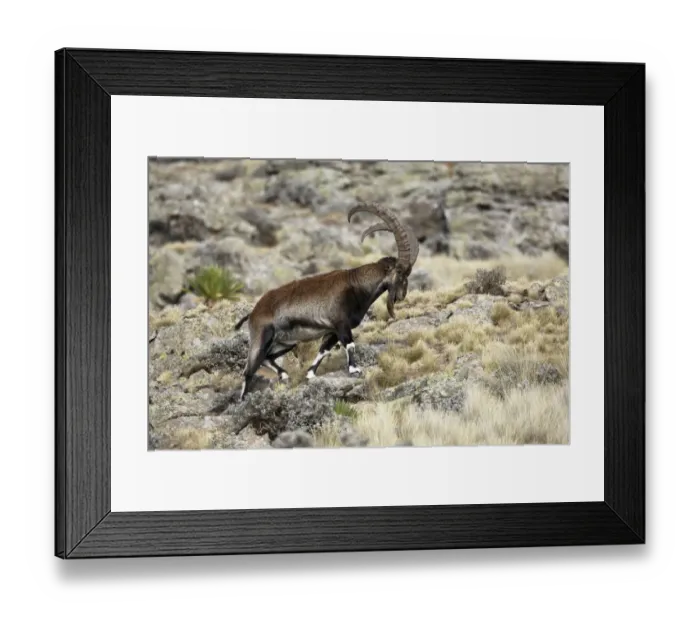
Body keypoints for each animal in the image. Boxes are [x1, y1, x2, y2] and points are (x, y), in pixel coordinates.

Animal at [234, 203, 419, 401]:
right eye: (400, 272)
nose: (402, 295)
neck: (356, 285)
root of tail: (253, 312)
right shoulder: (341, 324)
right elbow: (350, 345)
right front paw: (354, 370)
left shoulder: (332, 331)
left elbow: (324, 350)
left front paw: (310, 374)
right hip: (262, 338)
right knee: (249, 370)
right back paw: (243, 400)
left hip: (286, 342)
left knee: (268, 359)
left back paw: (284, 375)